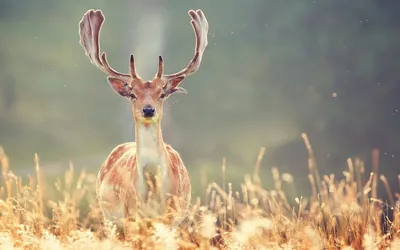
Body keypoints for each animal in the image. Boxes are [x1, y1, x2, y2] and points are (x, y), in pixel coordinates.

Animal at [78, 8, 209, 229]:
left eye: (162, 94)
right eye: (132, 94)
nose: (148, 110)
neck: (153, 189)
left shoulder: (172, 217)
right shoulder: (131, 215)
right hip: (109, 218)